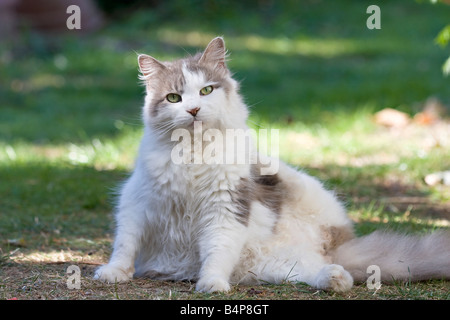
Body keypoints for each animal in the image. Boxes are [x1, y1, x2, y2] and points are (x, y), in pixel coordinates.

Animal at [93, 36, 448, 292]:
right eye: (173, 98)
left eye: (206, 90)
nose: (193, 110)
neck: (192, 153)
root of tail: (333, 248)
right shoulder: (137, 201)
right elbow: (125, 244)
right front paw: (113, 273)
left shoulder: (227, 206)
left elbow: (217, 251)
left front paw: (212, 284)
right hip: (276, 263)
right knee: (317, 271)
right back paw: (335, 279)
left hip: (293, 186)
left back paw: (336, 277)